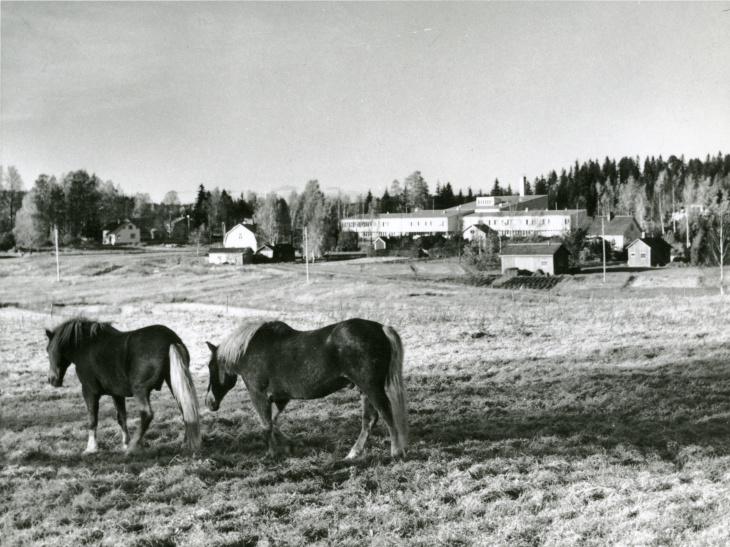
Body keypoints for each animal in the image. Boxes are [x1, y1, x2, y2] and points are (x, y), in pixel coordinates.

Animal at [45, 316, 200, 454]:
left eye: (49, 349)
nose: (52, 380)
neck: (87, 346)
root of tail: (171, 341)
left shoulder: (89, 391)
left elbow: (92, 419)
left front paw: (91, 448)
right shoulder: (117, 394)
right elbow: (122, 418)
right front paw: (125, 443)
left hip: (140, 390)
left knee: (147, 414)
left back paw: (133, 447)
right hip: (174, 385)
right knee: (186, 411)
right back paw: (184, 443)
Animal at [205, 318, 406, 460]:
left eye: (210, 366)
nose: (209, 402)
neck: (249, 351)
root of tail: (381, 328)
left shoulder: (259, 396)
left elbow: (266, 425)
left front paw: (271, 453)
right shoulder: (280, 398)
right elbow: (273, 422)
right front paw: (288, 446)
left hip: (371, 387)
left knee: (386, 413)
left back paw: (396, 452)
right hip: (364, 390)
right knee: (369, 420)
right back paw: (353, 453)